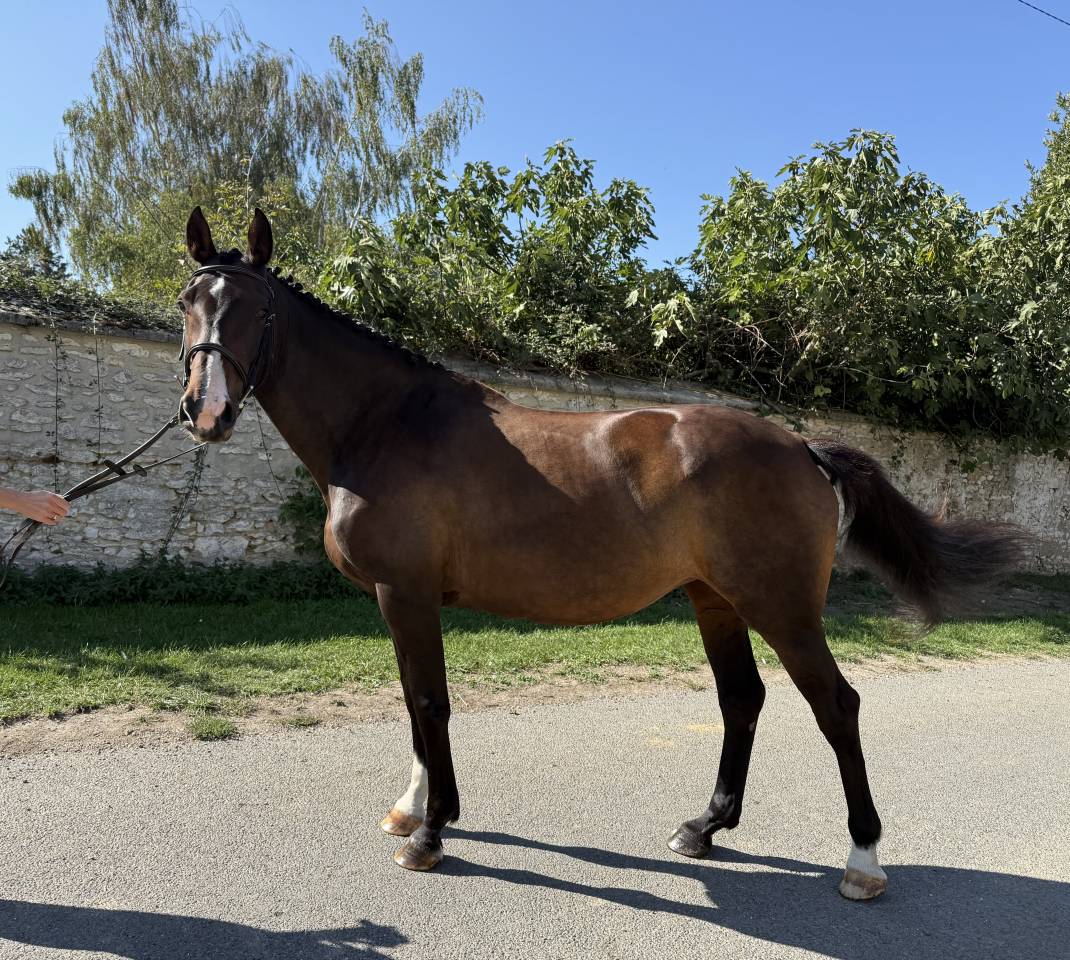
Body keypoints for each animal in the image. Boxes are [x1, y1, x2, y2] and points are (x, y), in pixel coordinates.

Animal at [176, 206, 1025, 900]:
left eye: (256, 308)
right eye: (189, 302)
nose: (204, 411)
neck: (387, 422)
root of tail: (802, 447)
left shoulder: (405, 591)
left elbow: (430, 704)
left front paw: (431, 832)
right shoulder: (397, 599)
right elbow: (415, 704)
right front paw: (412, 810)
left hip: (780, 607)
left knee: (835, 706)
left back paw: (863, 861)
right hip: (716, 599)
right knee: (742, 699)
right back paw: (704, 828)